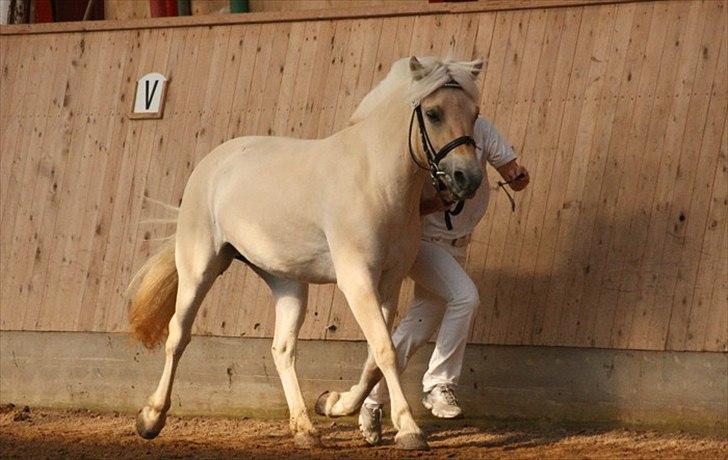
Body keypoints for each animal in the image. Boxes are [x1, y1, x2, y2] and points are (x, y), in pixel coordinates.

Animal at [128, 54, 484, 450]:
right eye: (434, 113)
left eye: (475, 113)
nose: (467, 178)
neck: (375, 180)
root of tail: (211, 163)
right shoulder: (357, 280)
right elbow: (386, 350)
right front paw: (408, 429)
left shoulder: (388, 283)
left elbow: (376, 356)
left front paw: (334, 404)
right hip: (199, 269)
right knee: (178, 335)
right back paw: (150, 418)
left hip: (287, 283)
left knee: (282, 350)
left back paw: (304, 429)